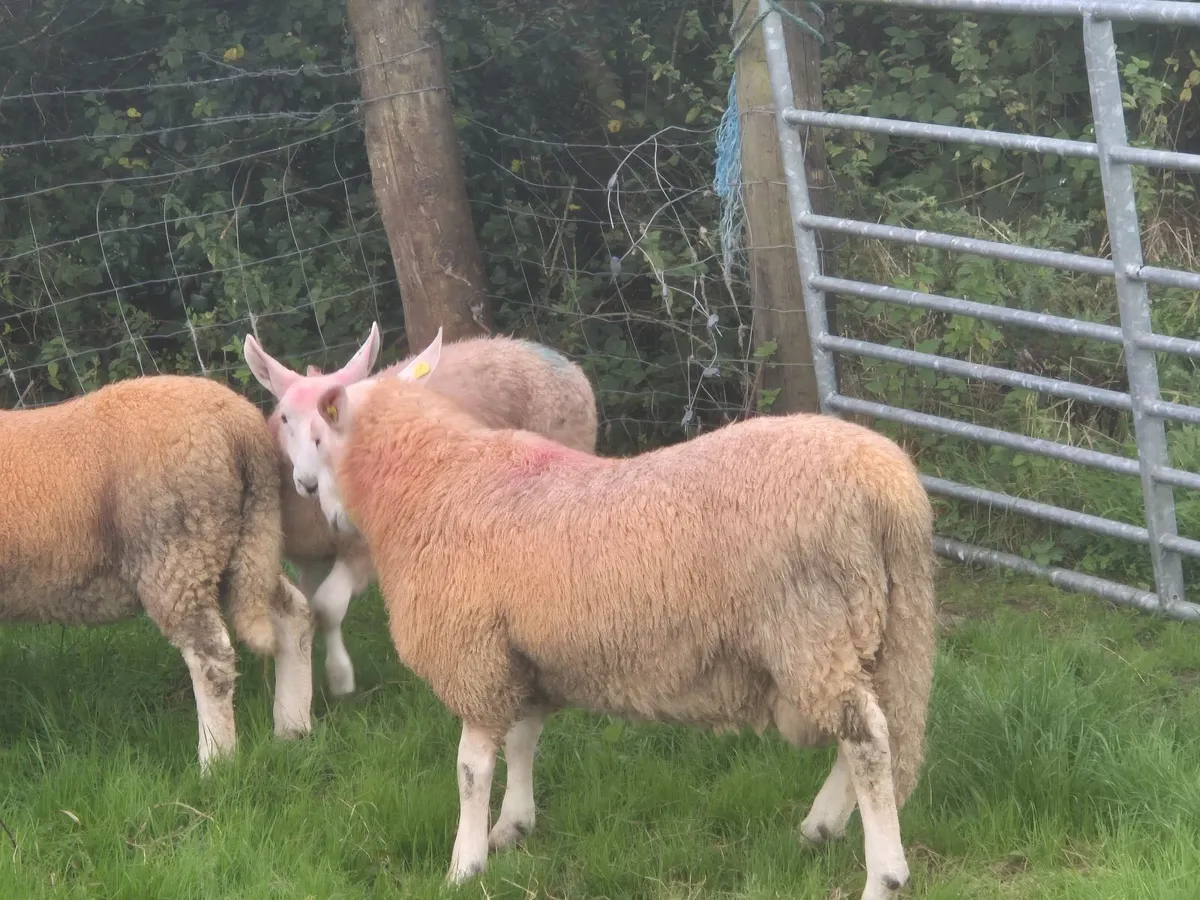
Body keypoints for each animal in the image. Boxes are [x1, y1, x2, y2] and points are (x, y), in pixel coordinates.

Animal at [0, 374, 314, 770]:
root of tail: (240, 423)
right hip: (247, 543)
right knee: (294, 615)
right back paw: (292, 729)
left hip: (179, 553)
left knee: (212, 659)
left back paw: (216, 763)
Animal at [241, 324, 599, 696]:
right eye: (285, 417)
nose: (308, 482)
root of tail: (553, 355)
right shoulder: (307, 558)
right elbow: (311, 609)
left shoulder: (363, 548)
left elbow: (328, 607)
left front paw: (340, 679)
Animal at [303, 329, 937, 900]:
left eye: (315, 437)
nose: (323, 510)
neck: (433, 481)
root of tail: (889, 483)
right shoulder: (525, 653)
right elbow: (523, 740)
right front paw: (513, 826)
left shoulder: (473, 655)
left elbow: (470, 769)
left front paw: (466, 863)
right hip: (879, 625)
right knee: (878, 727)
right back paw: (821, 827)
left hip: (807, 625)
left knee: (867, 738)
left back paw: (883, 877)